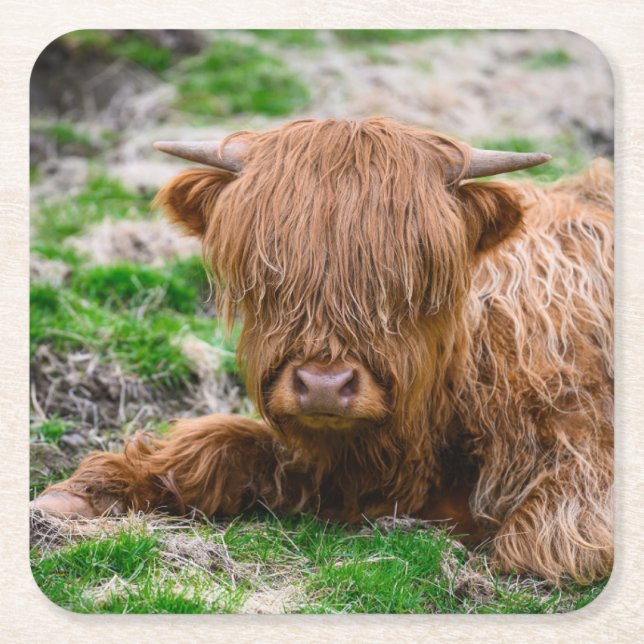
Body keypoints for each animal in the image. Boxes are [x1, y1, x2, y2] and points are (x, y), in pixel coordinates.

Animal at [33, 118, 613, 585]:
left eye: (409, 282)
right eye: (268, 277)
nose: (324, 387)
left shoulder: (581, 469)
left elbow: (539, 544)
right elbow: (219, 441)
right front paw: (85, 494)